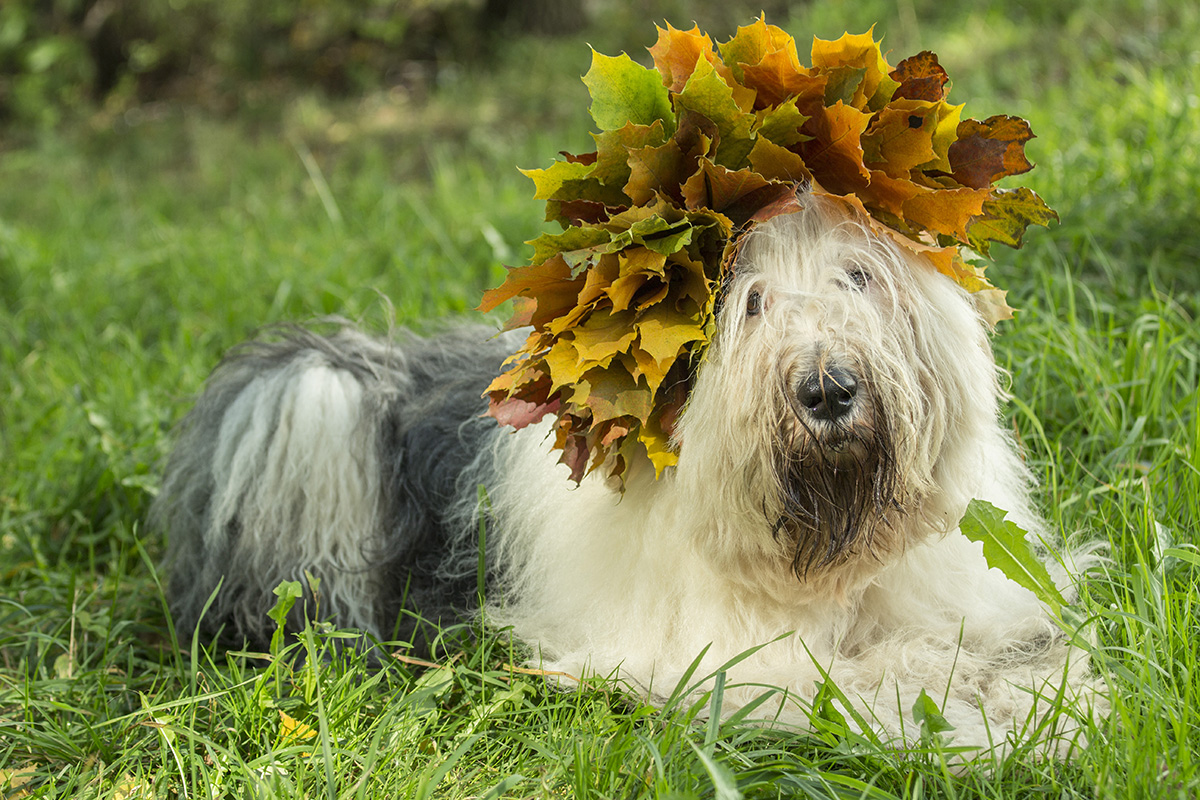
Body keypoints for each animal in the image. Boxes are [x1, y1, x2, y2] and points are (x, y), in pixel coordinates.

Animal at [152, 195, 1099, 758]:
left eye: (857, 275)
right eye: (747, 301)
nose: (829, 390)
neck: (829, 552)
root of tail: (391, 375)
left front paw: (1050, 704)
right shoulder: (724, 665)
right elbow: (872, 681)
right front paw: (968, 721)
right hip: (313, 432)